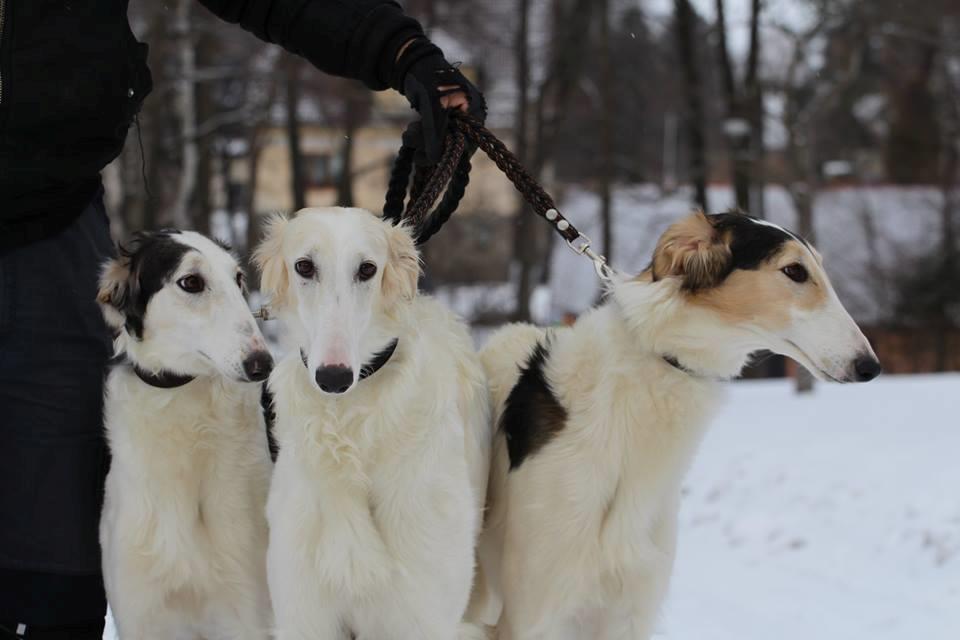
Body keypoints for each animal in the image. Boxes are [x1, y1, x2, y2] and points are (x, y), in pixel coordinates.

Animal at [253, 209, 492, 640]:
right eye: (304, 266)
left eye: (367, 269)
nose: (333, 377)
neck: (350, 431)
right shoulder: (304, 613)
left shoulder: (422, 614)